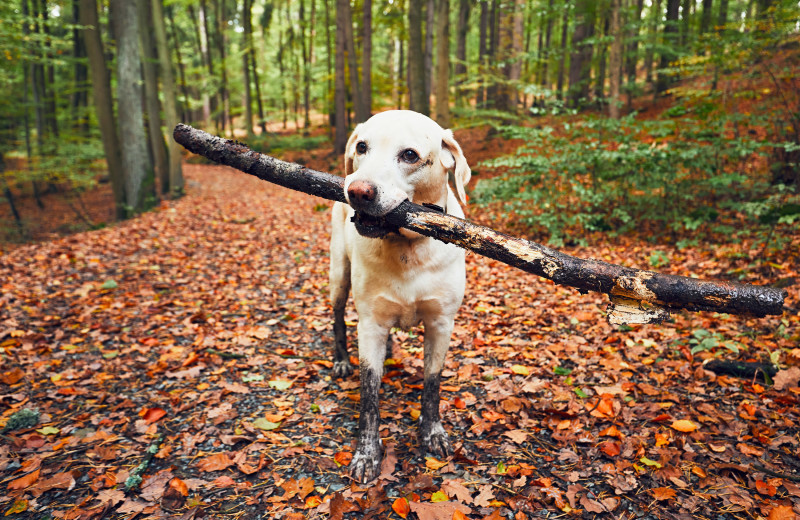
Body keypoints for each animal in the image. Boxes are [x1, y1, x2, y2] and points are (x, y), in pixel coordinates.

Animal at [328, 109, 472, 484]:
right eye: (361, 147)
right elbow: (369, 395)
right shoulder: (370, 326)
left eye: (409, 155)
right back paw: (341, 359)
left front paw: (432, 433)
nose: (357, 190)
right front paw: (366, 453)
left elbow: (432, 385)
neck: (407, 247)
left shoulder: (441, 324)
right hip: (338, 276)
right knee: (337, 317)